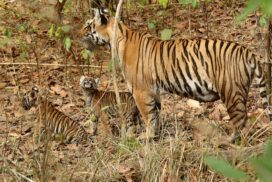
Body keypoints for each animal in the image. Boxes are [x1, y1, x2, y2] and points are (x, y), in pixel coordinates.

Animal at [81, 8, 272, 142]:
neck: (116, 38)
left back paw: (229, 141)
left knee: (240, 119)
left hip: (231, 91)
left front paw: (145, 137)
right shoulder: (153, 92)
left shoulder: (140, 91)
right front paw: (155, 136)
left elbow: (147, 116)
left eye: (88, 25)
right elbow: (155, 115)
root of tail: (247, 51)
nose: (78, 34)